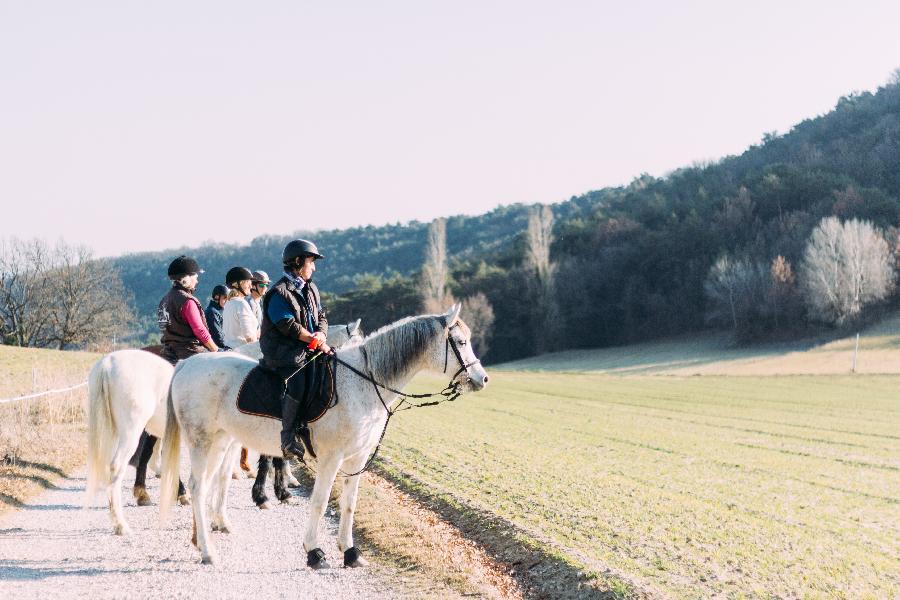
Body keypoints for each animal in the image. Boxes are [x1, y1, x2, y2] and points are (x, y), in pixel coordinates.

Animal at [85, 322, 362, 536]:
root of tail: (108, 361)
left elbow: (230, 472)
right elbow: (262, 462)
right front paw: (265, 495)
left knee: (144, 457)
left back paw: (149, 493)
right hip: (134, 429)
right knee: (127, 462)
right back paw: (127, 520)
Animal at [158, 304, 488, 568]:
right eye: (461, 342)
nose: (482, 379)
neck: (363, 381)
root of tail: (188, 363)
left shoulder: (357, 458)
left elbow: (349, 503)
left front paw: (350, 552)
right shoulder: (332, 458)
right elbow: (320, 500)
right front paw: (314, 551)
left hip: (221, 441)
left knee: (209, 483)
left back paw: (202, 538)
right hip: (202, 441)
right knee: (197, 486)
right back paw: (207, 551)